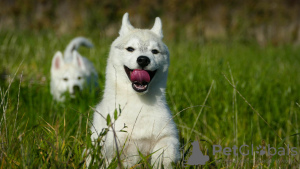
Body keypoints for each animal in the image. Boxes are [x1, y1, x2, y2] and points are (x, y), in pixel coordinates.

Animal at [90, 12, 179, 168]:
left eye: (155, 51)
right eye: (130, 49)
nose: (143, 59)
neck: (138, 104)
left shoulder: (167, 134)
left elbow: (166, 148)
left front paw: (160, 161)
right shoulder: (111, 145)